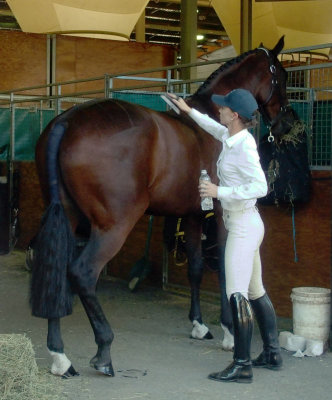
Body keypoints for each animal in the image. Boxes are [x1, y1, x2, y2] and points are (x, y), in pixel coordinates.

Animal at [29, 36, 296, 376]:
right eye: (282, 76)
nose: (285, 123)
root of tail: (66, 121)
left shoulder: (194, 215)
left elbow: (196, 268)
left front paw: (198, 325)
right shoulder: (219, 213)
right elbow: (224, 268)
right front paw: (228, 331)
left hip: (66, 217)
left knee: (58, 271)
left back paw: (60, 357)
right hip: (113, 225)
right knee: (83, 273)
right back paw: (103, 350)